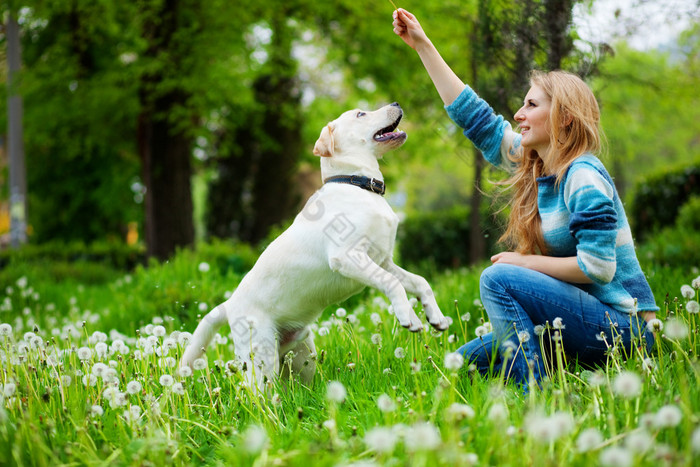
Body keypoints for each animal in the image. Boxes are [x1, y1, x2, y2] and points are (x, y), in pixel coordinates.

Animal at [180, 102, 448, 392]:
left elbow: (420, 281)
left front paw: (435, 316)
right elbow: (393, 283)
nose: (396, 104)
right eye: (360, 114)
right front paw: (408, 317)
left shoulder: (382, 261)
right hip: (261, 358)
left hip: (301, 356)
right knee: (255, 393)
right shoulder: (349, 257)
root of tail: (229, 305)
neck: (357, 185)